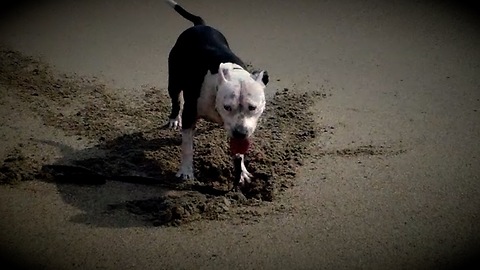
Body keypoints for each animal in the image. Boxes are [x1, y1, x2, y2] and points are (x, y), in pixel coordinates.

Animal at [165, 0, 270, 187]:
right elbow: (187, 147)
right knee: (176, 100)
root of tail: (199, 25)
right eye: (227, 107)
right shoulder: (190, 114)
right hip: (174, 79)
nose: (240, 133)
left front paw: (241, 172)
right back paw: (174, 119)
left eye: (252, 107)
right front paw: (186, 171)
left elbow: (238, 152)